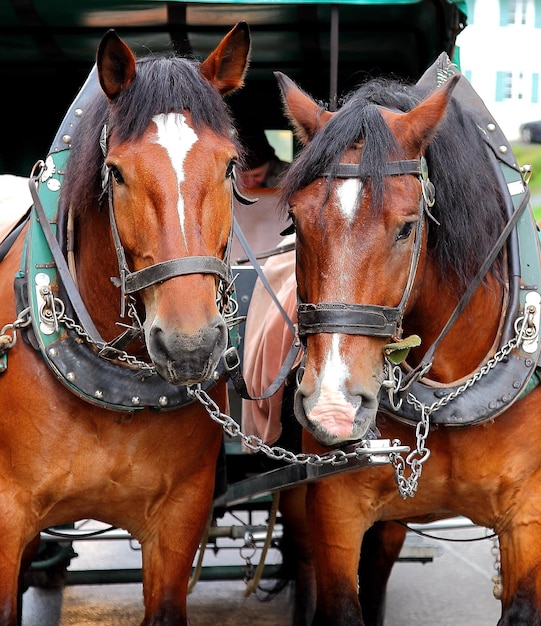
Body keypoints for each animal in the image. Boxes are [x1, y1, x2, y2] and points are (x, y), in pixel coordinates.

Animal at [270, 59, 541, 624]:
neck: (450, 395)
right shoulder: (335, 510)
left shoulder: (529, 516)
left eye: (407, 228)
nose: (333, 408)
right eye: (296, 223)